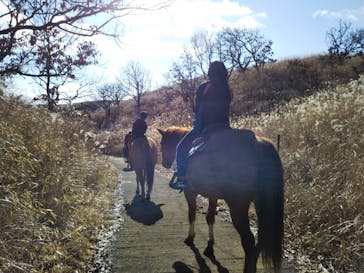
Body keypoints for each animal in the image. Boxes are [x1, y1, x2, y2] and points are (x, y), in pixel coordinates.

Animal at [157, 126, 284, 272]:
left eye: (162, 143)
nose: (165, 163)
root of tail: (257, 145)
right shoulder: (213, 196)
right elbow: (210, 218)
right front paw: (209, 247)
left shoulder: (190, 192)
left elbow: (192, 214)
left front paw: (190, 238)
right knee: (261, 240)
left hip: (238, 204)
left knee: (249, 241)